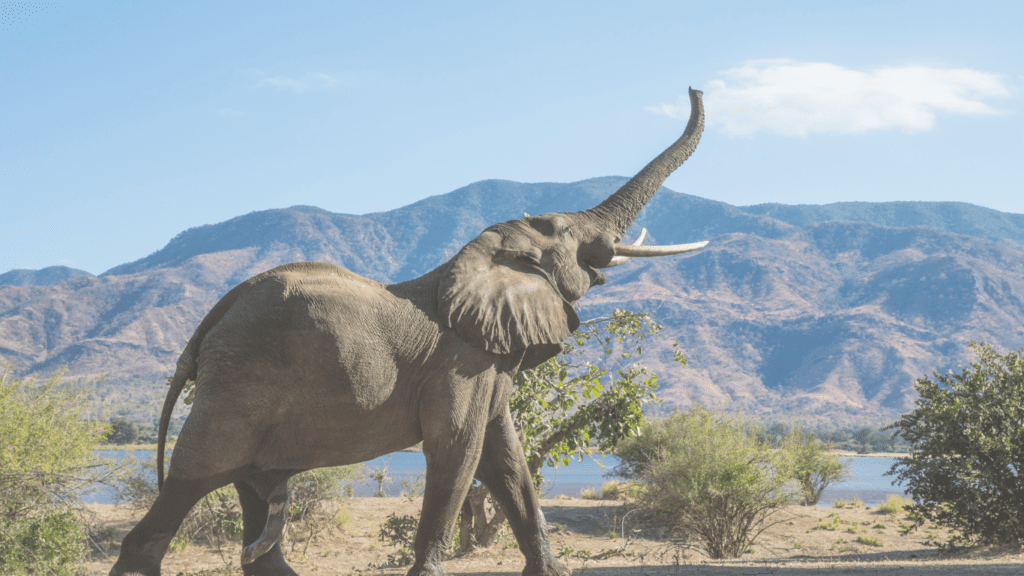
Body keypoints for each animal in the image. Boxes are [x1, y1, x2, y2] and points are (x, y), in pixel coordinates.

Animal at [110, 86, 704, 573]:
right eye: (565, 232)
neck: (475, 258)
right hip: (236, 389)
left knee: (254, 510)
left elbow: (506, 460)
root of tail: (208, 325)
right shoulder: (460, 364)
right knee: (190, 485)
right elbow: (458, 450)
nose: (696, 87)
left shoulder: (487, 362)